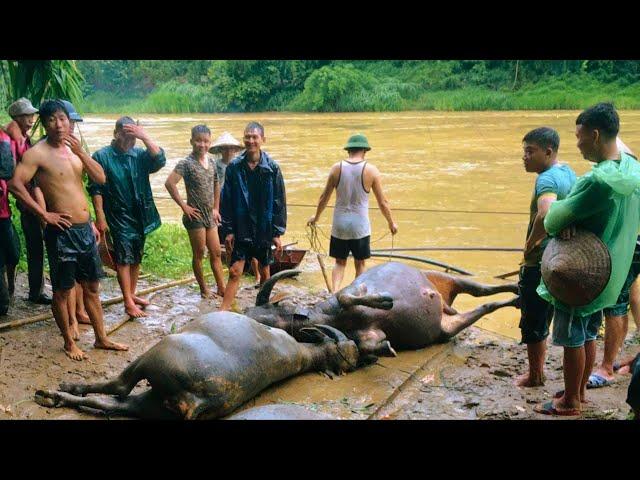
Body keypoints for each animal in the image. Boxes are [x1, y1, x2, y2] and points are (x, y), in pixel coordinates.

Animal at [33, 312, 360, 420]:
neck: (300, 353)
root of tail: (196, 401)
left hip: (153, 357)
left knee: (118, 387)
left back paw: (56, 391)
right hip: (152, 405)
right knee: (112, 403)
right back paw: (57, 398)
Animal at [245, 260, 520, 358]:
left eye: (271, 310)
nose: (246, 316)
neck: (334, 316)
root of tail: (443, 302)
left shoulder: (357, 288)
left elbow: (345, 295)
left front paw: (386, 300)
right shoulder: (368, 332)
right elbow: (368, 344)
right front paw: (387, 348)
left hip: (443, 276)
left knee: (480, 290)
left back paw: (515, 288)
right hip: (447, 327)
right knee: (485, 304)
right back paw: (517, 298)